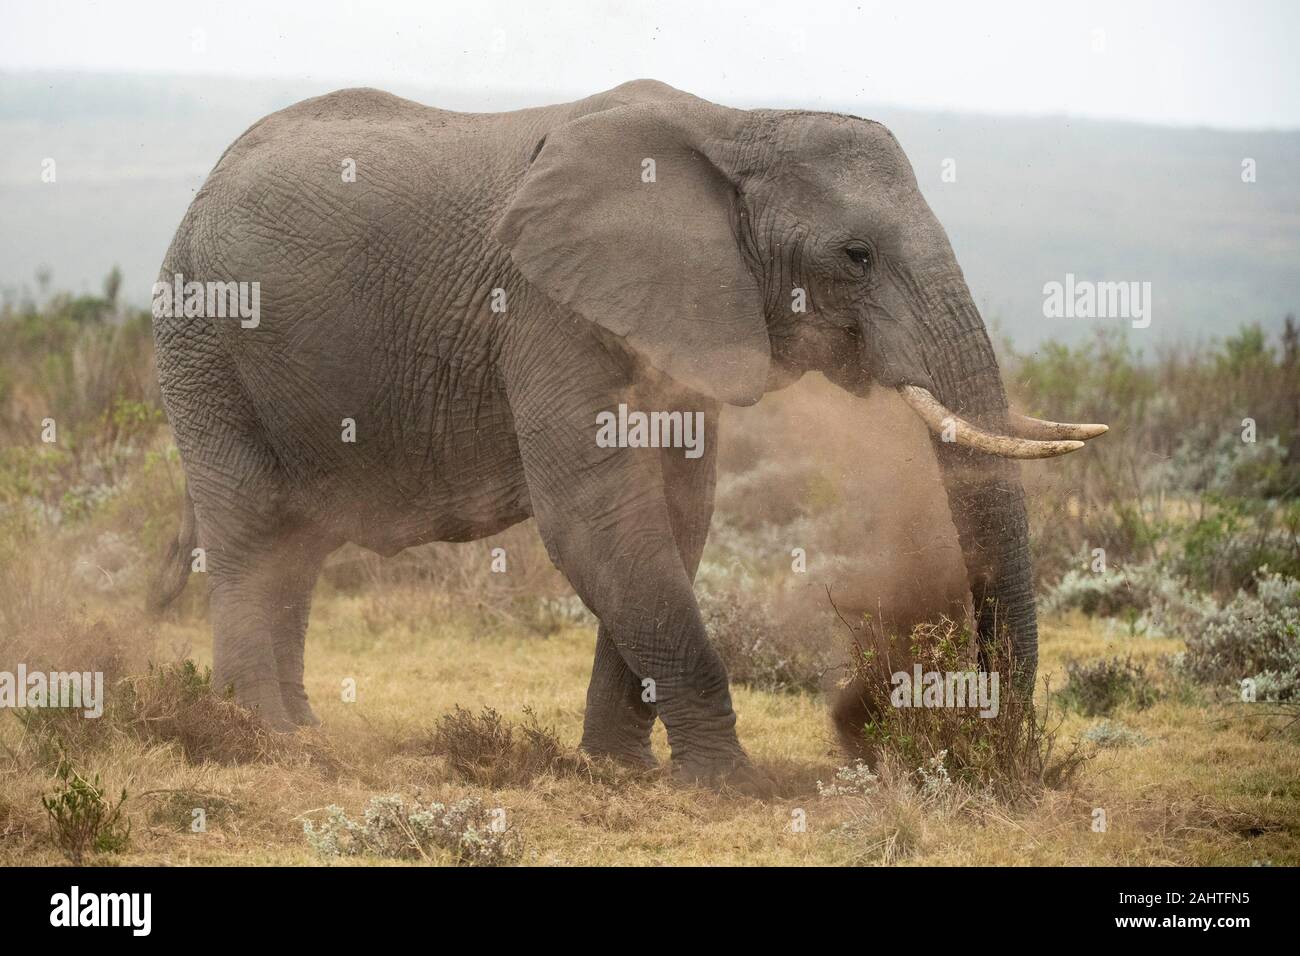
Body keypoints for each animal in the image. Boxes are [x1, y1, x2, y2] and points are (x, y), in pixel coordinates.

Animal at [152, 78, 1107, 790]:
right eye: (857, 257)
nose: (982, 740)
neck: (734, 125)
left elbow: (675, 519)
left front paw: (620, 768)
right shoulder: (546, 307)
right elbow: (598, 517)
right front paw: (732, 784)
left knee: (296, 548)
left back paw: (302, 730)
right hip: (204, 338)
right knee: (252, 531)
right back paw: (262, 738)